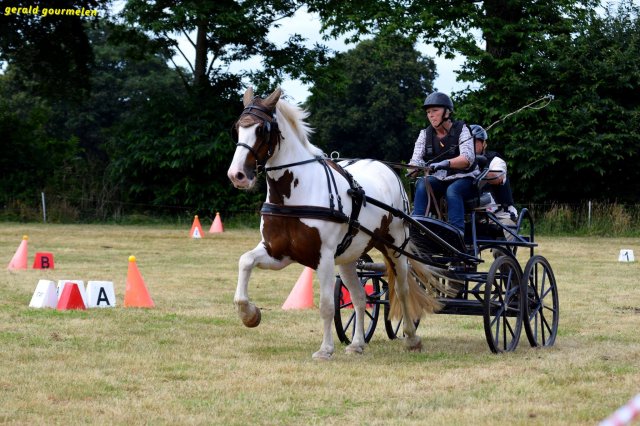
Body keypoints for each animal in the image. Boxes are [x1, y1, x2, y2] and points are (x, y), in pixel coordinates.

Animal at [227, 87, 440, 360]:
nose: (237, 175)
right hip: (349, 258)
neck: (297, 191)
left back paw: (411, 338)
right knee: (360, 298)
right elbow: (245, 261)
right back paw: (357, 343)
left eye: (262, 129)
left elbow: (327, 304)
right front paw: (250, 315)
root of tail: (385, 168)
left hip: (395, 248)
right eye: (237, 128)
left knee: (402, 291)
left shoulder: (324, 257)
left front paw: (325, 349)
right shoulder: (278, 252)